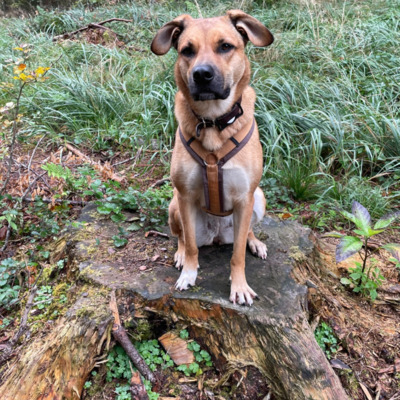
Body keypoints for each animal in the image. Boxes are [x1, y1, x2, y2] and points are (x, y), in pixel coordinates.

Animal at [152, 10, 274, 306]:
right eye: (187, 50)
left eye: (225, 46)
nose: (202, 74)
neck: (213, 122)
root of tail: (217, 236)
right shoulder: (184, 195)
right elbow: (191, 247)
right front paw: (189, 274)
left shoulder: (244, 197)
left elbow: (238, 254)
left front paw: (239, 286)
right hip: (174, 205)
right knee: (183, 237)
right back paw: (180, 254)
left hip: (259, 198)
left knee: (246, 231)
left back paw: (255, 242)